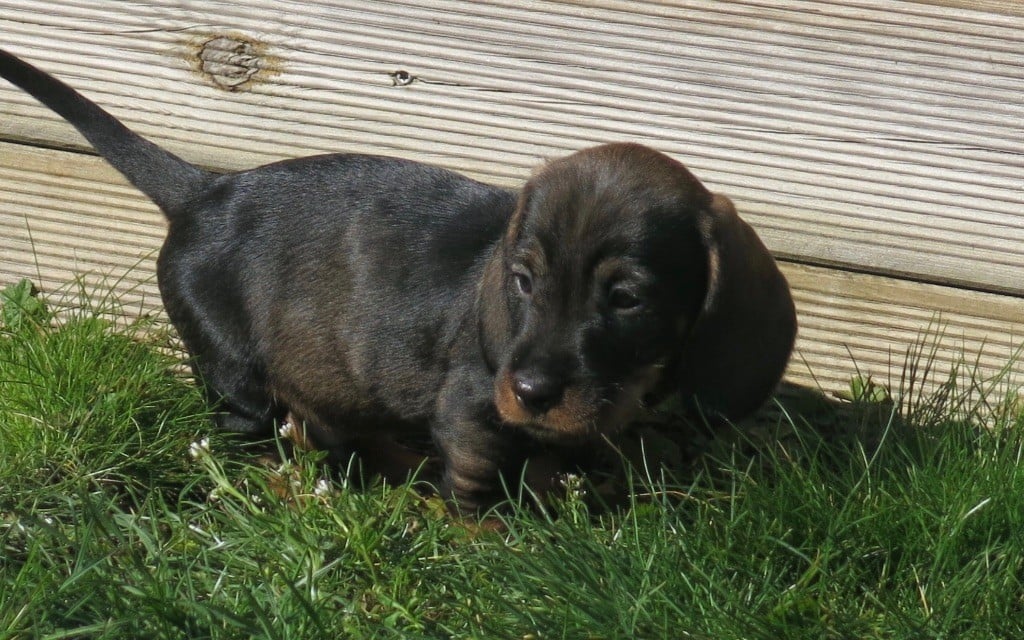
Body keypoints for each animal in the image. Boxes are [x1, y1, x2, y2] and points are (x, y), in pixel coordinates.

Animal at [0, 48, 794, 509]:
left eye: (627, 299)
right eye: (524, 282)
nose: (531, 390)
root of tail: (204, 191)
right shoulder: (472, 413)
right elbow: (478, 486)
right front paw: (496, 544)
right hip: (234, 375)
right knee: (248, 436)